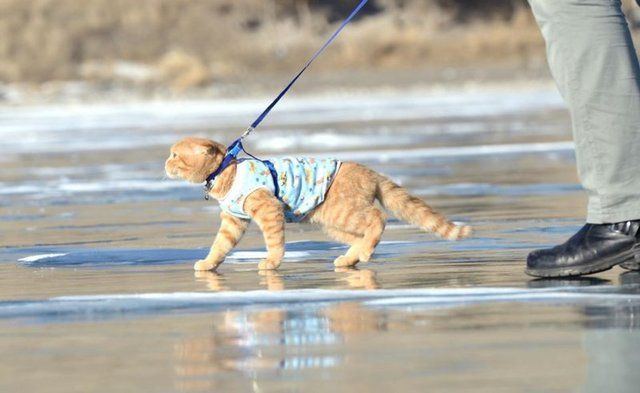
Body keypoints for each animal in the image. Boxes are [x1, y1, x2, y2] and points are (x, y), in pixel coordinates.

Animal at [168, 137, 472, 270]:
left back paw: (362, 254)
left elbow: (274, 241)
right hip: (334, 222)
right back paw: (349, 258)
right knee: (364, 235)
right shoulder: (235, 220)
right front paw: (209, 264)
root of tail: (369, 171)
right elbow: (220, 245)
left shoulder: (268, 210)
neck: (226, 173)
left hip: (345, 213)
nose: (164, 162)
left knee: (378, 218)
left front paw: (272, 262)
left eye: (175, 155)